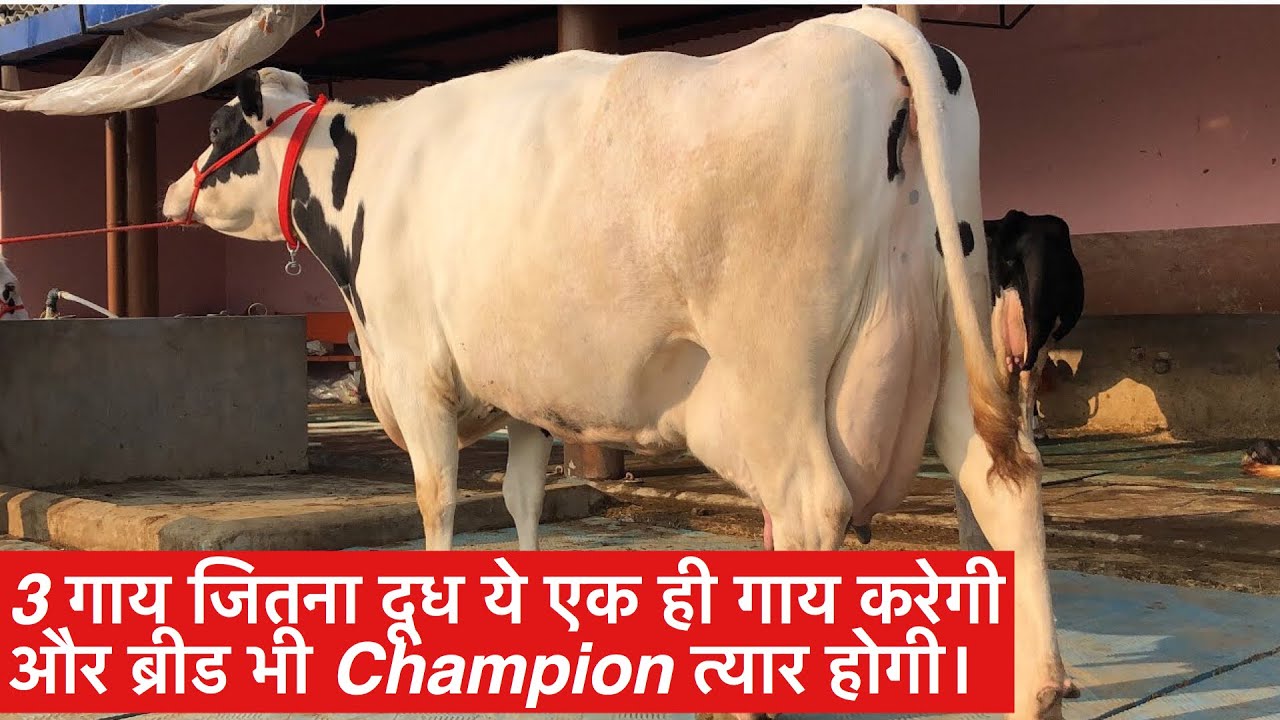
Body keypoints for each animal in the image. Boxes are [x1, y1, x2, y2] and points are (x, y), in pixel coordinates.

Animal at [162, 9, 1072, 717]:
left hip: (775, 378)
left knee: (812, 508)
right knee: (1002, 482)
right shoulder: (525, 394)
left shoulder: (418, 375)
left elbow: (438, 504)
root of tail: (855, 28)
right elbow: (523, 499)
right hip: (952, 336)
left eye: (215, 131)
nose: (173, 195)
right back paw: (1037, 690)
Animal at [986, 210, 1084, 441]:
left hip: (999, 319)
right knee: (1027, 377)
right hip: (1039, 325)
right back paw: (1029, 437)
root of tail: (1017, 218)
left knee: (1004, 376)